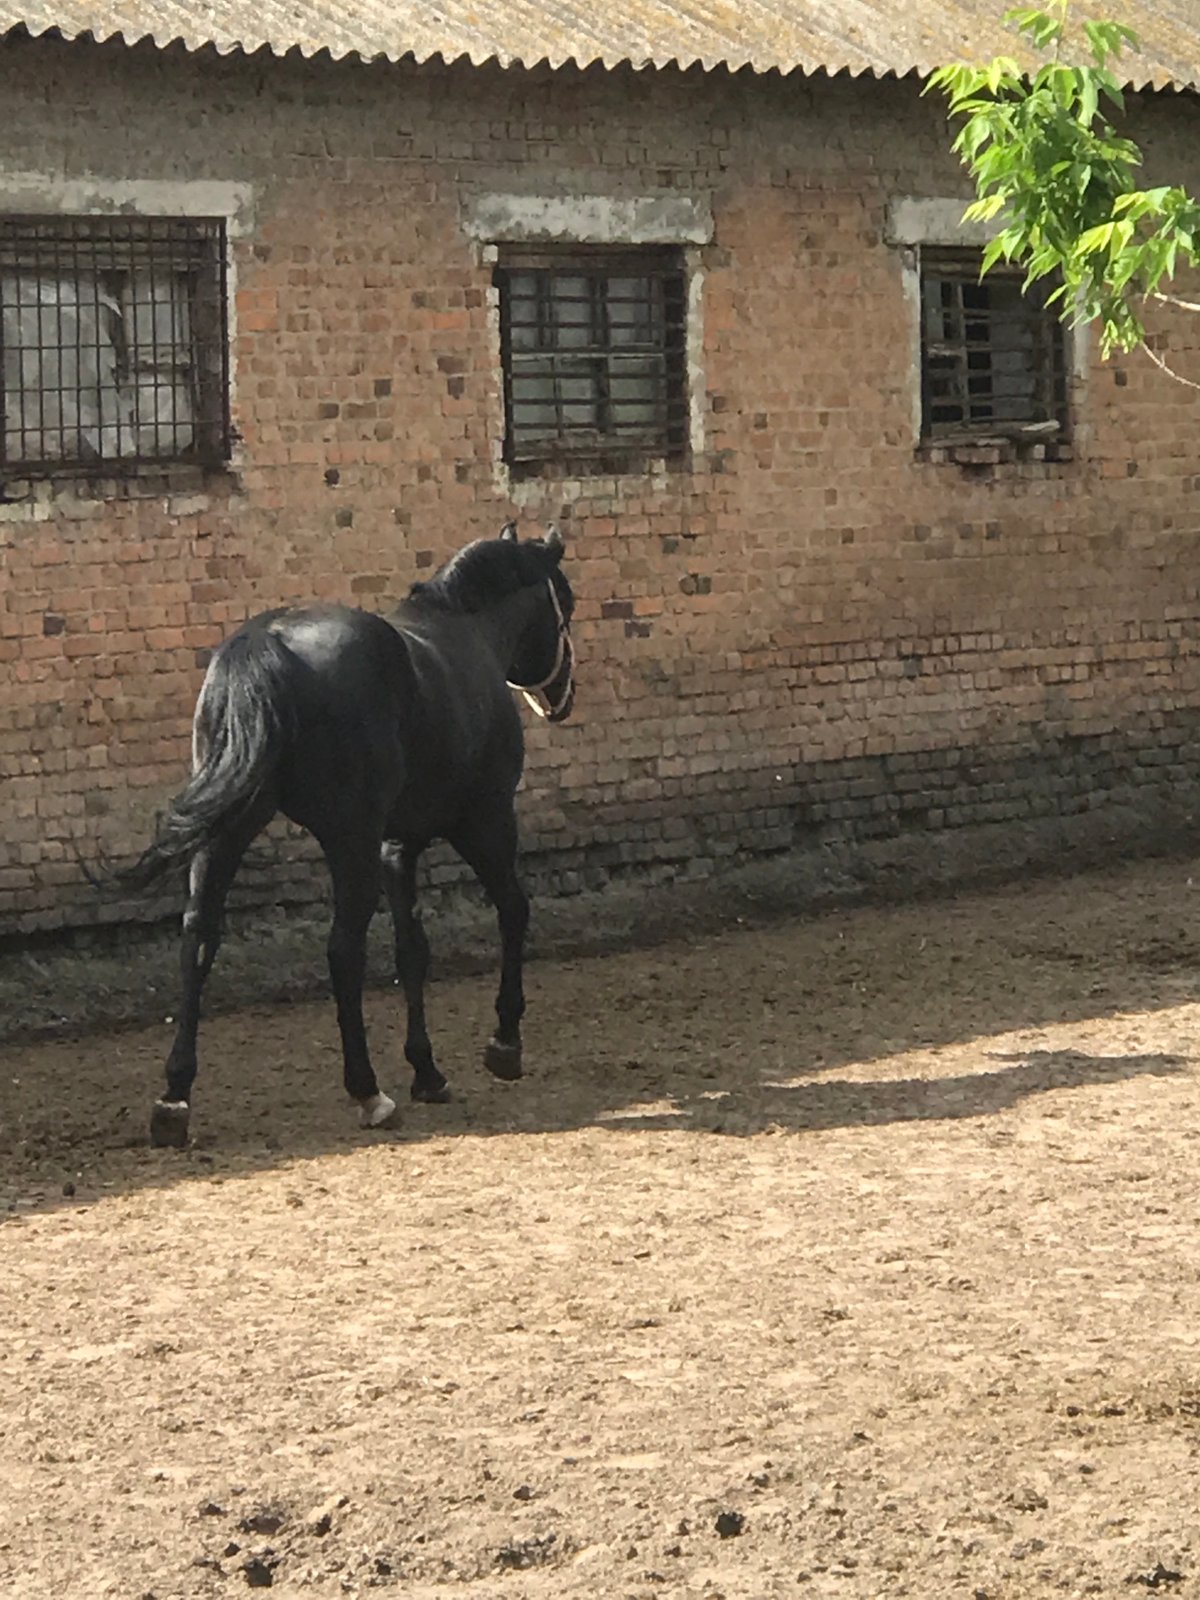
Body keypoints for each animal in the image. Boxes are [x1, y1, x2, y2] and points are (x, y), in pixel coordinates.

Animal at [121, 522, 576, 1148]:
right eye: (564, 607)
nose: (562, 698)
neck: (468, 635)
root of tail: (267, 641)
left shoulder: (396, 845)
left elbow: (413, 949)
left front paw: (428, 1071)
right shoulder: (482, 820)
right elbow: (513, 910)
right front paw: (504, 1044)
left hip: (228, 833)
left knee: (199, 939)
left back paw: (174, 1099)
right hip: (348, 836)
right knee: (342, 949)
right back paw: (368, 1091)